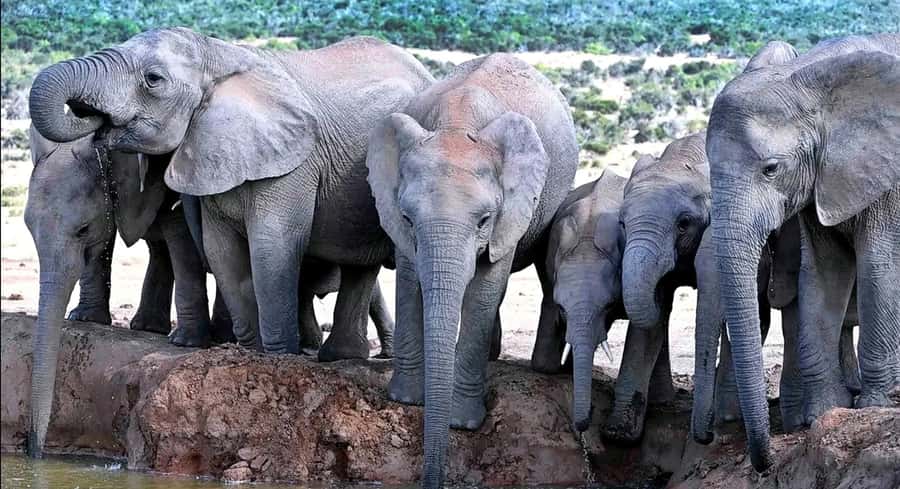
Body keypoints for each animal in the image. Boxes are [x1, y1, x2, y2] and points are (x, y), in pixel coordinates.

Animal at [24, 125, 231, 457]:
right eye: (29, 227)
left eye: (82, 229)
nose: (34, 453)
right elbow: (101, 246)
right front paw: (85, 320)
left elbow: (181, 237)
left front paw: (184, 343)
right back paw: (148, 326)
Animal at [28, 29, 434, 364]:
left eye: (153, 80)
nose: (89, 117)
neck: (218, 54)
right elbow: (220, 250)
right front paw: (248, 350)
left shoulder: (293, 162)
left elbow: (271, 245)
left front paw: (277, 357)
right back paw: (336, 355)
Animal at [366, 54, 578, 488]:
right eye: (408, 218)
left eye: (483, 220)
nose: (434, 480)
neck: (455, 125)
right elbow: (410, 277)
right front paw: (406, 399)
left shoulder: (510, 212)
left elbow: (485, 287)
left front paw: (463, 424)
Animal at [706, 34, 899, 471]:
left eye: (771, 169)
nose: (763, 463)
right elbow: (824, 274)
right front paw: (823, 414)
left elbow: (880, 266)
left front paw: (875, 406)